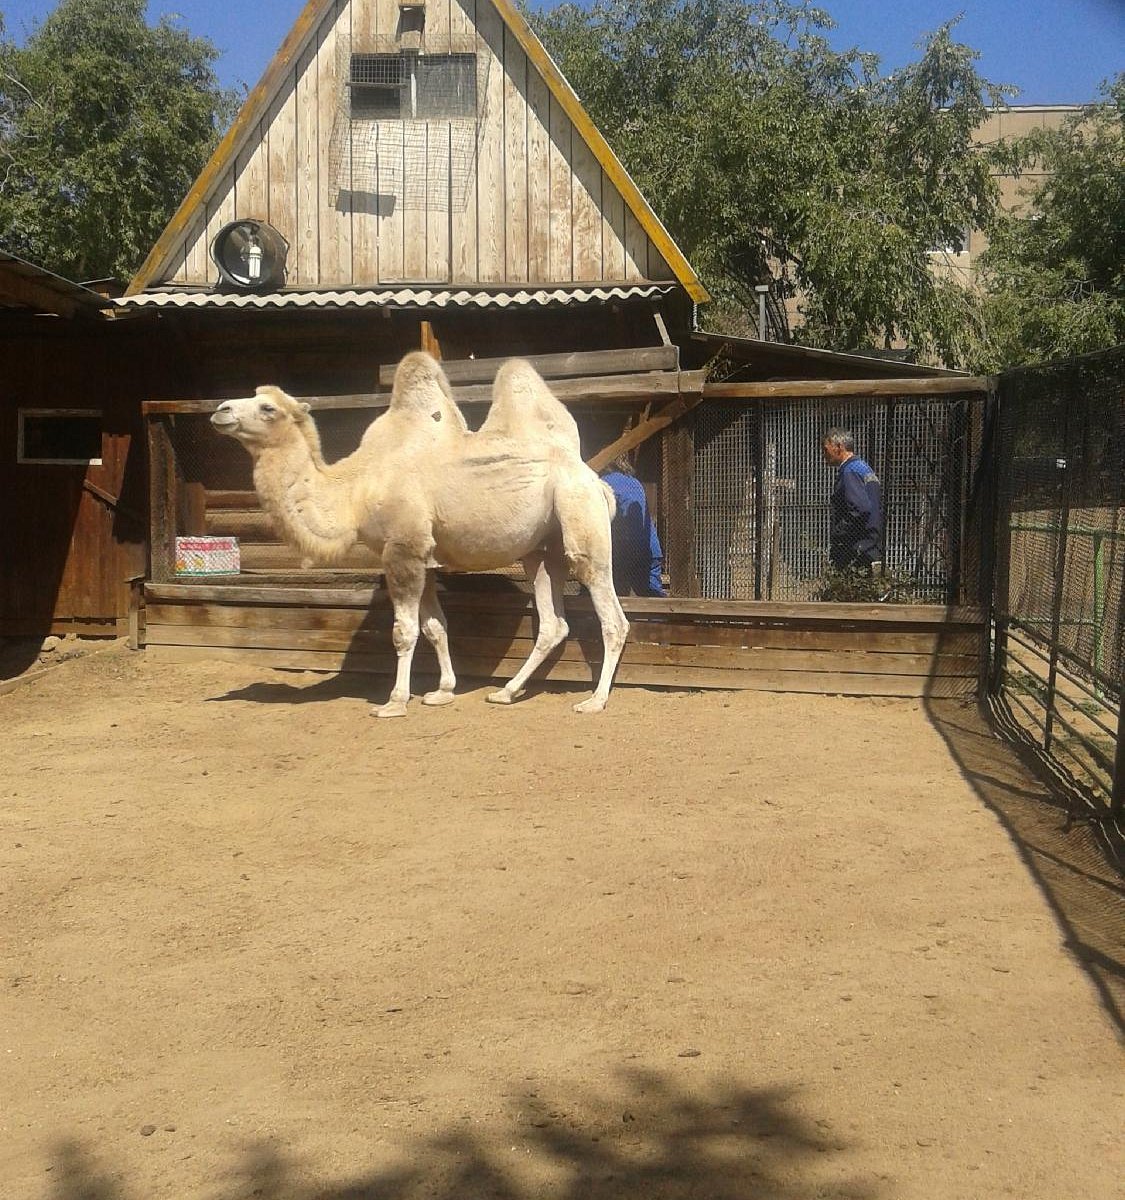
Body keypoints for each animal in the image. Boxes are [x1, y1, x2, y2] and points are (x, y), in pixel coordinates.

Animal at [208, 350, 633, 715]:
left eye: (268, 408)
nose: (220, 409)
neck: (356, 488)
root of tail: (596, 480)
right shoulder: (424, 558)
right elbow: (435, 628)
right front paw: (443, 690)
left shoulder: (403, 547)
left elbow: (404, 630)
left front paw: (395, 701)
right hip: (542, 548)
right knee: (552, 622)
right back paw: (506, 691)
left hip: (580, 517)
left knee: (612, 616)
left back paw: (595, 700)